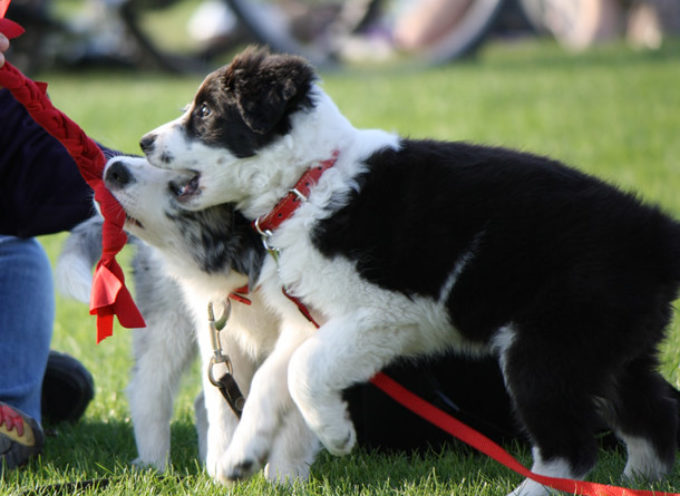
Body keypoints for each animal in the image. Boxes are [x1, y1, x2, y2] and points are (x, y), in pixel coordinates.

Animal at [138, 47, 680, 496]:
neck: (305, 184)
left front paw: (335, 433)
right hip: (610, 349)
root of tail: (658, 234)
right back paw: (638, 481)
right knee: (651, 416)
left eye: (205, 112)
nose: (144, 141)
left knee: (570, 448)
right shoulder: (314, 317)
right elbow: (275, 376)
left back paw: (533, 490)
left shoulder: (381, 313)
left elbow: (303, 370)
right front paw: (241, 458)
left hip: (547, 348)